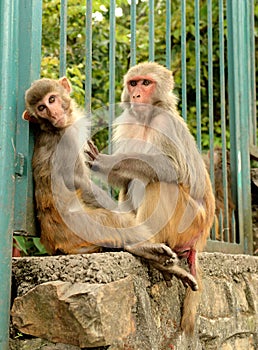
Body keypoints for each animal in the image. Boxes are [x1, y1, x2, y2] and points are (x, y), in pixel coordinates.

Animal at [22, 76, 198, 290]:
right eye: (41, 108)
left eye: (51, 99)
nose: (54, 113)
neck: (55, 127)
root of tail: (56, 246)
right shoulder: (67, 139)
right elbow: (77, 180)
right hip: (85, 226)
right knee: (118, 222)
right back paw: (142, 247)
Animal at [86, 62, 216, 334]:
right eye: (133, 83)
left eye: (146, 83)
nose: (136, 95)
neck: (145, 120)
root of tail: (200, 238)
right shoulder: (128, 123)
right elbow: (123, 181)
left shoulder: (164, 123)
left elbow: (171, 169)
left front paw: (107, 161)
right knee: (133, 184)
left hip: (188, 223)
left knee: (161, 182)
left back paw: (145, 246)